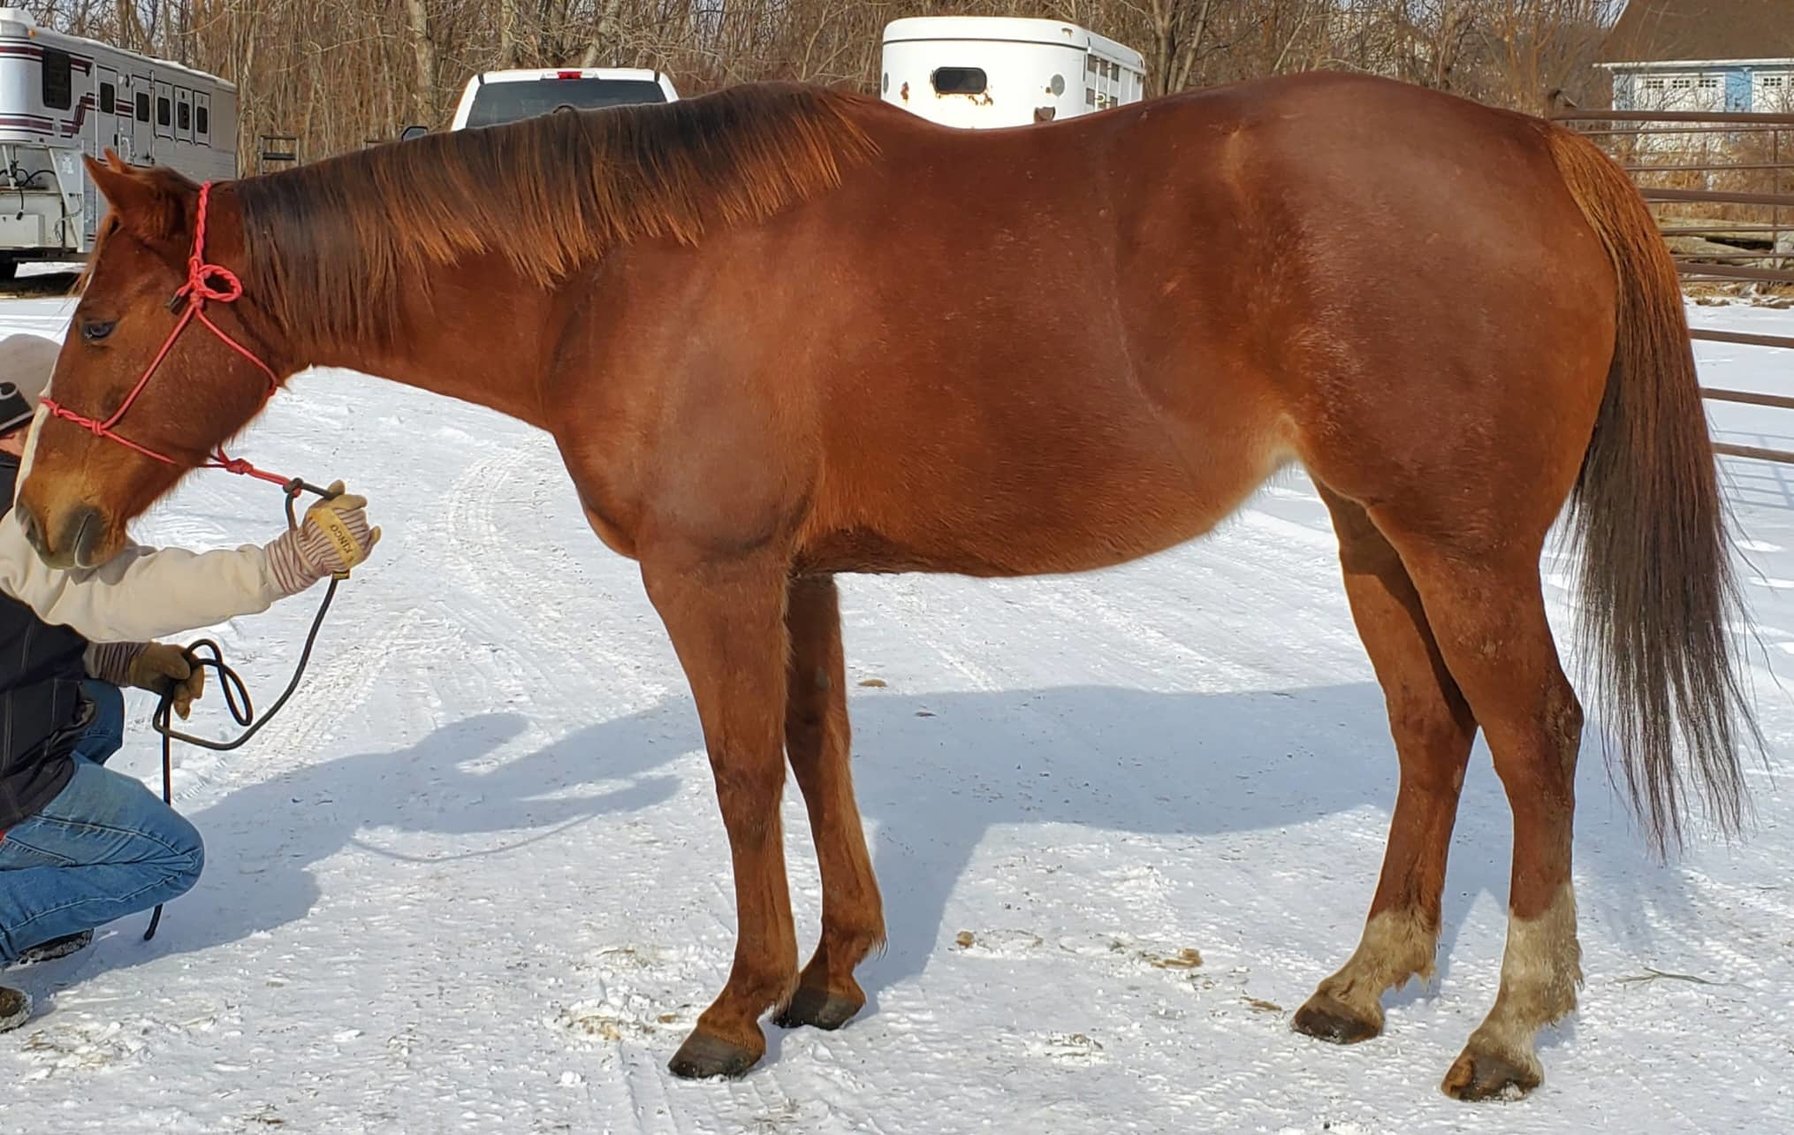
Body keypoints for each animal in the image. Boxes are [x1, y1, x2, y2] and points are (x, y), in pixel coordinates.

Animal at [16, 72, 1757, 1099]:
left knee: (1533, 735)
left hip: (1459, 545)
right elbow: (817, 749)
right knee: (1429, 732)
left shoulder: (713, 571)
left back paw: (1507, 1022)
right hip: (1372, 535)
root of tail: (1536, 144)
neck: (629, 274)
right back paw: (1364, 981)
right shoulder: (800, 572)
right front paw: (834, 975)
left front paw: (737, 1006)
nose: (49, 528)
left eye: (98, 323)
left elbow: (738, 769)